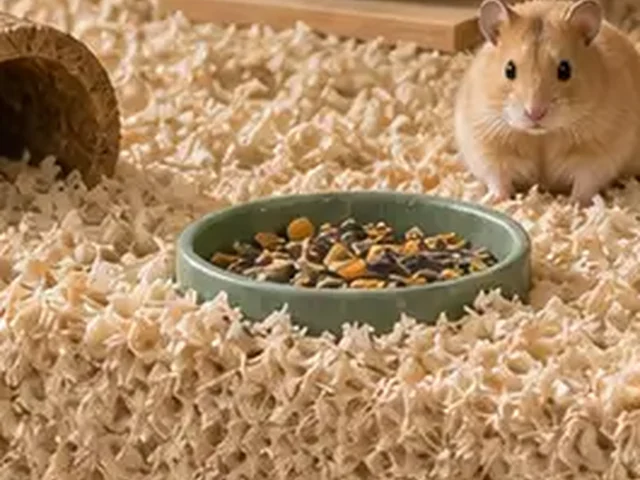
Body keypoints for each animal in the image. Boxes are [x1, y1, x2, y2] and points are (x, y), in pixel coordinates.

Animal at [454, 0, 640, 205]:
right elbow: (497, 178)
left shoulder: (599, 154)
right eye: (509, 69)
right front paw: (496, 200)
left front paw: (574, 204)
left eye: (565, 69)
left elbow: (585, 183)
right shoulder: (485, 144)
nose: (535, 113)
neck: (541, 137)